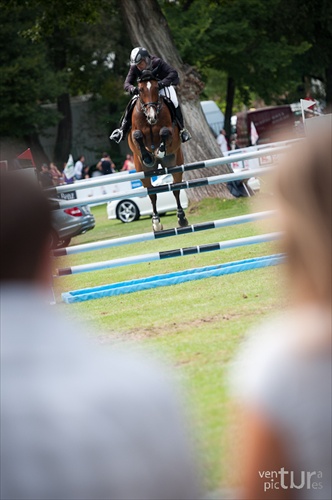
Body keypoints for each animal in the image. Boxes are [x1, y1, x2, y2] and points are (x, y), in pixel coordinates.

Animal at [127, 70, 188, 232]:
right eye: (140, 89)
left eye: (156, 87)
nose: (152, 116)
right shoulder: (133, 134)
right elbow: (137, 135)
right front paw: (148, 157)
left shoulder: (171, 131)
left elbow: (165, 132)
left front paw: (159, 151)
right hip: (144, 173)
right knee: (152, 193)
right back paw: (156, 222)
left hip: (175, 165)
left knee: (176, 189)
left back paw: (182, 218)